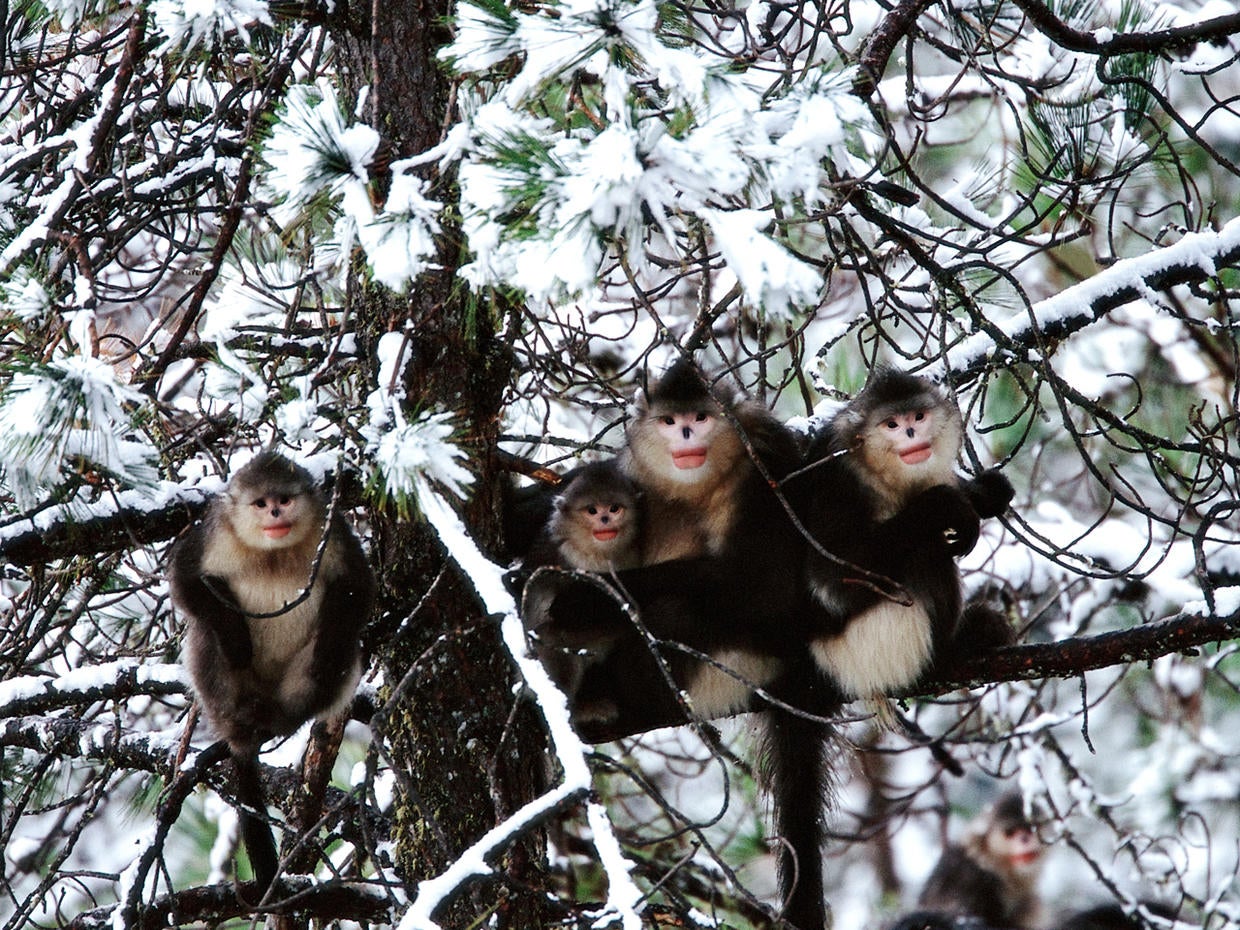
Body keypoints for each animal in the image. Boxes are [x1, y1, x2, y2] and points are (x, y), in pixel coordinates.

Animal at [169, 456, 374, 892]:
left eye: (284, 498)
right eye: (261, 503)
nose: (276, 513)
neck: (272, 553)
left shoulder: (330, 530)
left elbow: (358, 587)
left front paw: (326, 655)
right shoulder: (213, 534)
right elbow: (185, 580)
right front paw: (235, 638)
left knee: (340, 648)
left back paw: (281, 718)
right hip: (225, 688)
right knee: (205, 632)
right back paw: (245, 719)